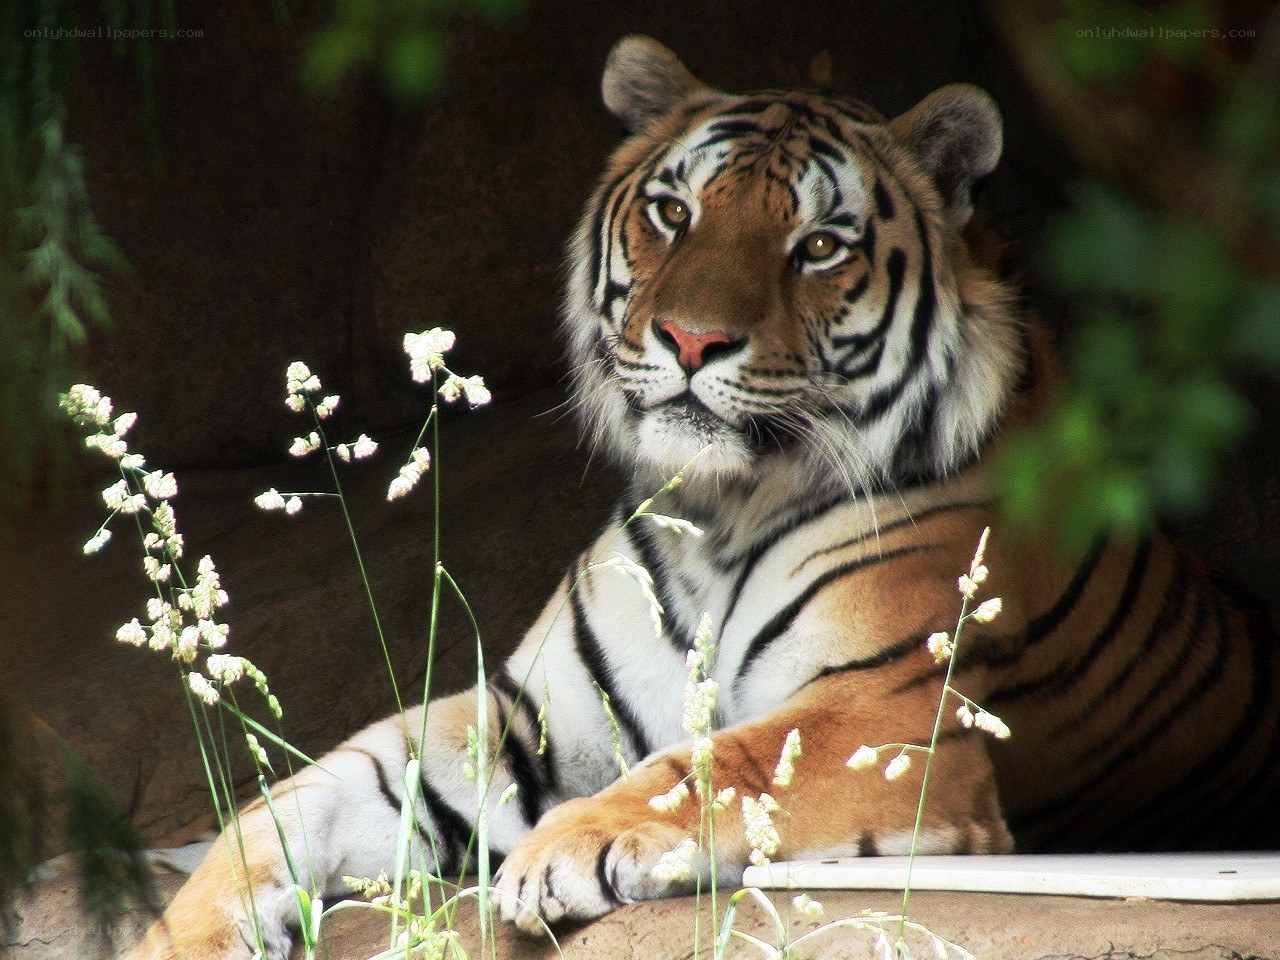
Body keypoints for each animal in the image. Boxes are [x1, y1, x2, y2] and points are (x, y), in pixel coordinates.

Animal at [128, 35, 1280, 960]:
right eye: (672, 213)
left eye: (819, 246)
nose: (688, 342)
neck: (721, 515)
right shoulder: (530, 717)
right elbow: (298, 796)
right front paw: (184, 930)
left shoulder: (890, 714)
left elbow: (714, 761)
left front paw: (565, 849)